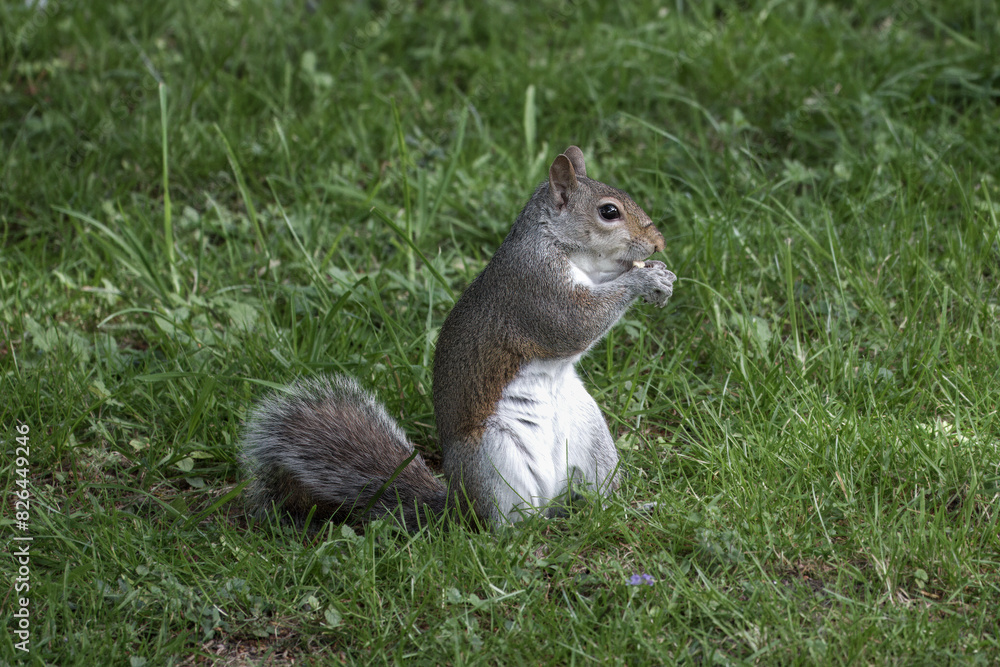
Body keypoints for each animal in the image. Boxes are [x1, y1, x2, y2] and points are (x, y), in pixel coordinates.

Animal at [240, 146, 676, 530]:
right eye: (609, 212)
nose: (659, 243)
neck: (558, 244)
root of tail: (458, 505)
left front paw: (660, 276)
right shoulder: (535, 289)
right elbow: (575, 324)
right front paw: (643, 279)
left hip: (592, 437)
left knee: (594, 496)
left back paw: (624, 508)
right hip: (494, 461)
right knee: (505, 525)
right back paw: (532, 534)